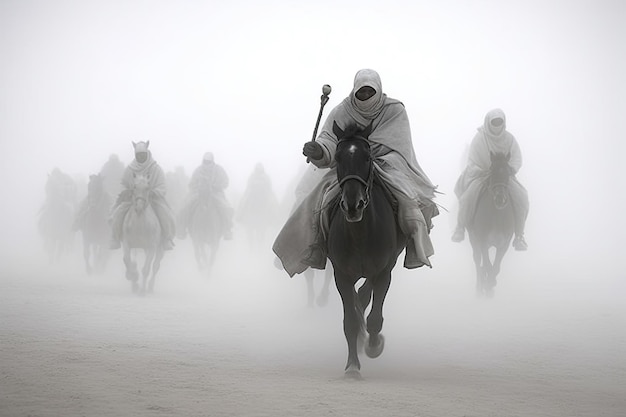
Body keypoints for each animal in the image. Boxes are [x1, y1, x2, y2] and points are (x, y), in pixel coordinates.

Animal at [324, 121, 408, 376]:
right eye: (338, 157)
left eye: (368, 157)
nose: (353, 204)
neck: (360, 235)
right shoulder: (341, 274)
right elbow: (350, 321)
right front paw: (352, 365)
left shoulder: (384, 272)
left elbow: (375, 318)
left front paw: (373, 345)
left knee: (365, 293)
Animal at [466, 152, 516, 296]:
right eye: (491, 171)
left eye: (509, 172)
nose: (500, 199)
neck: (497, 218)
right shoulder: (482, 241)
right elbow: (488, 265)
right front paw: (487, 285)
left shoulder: (504, 244)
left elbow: (496, 267)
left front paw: (490, 286)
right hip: (474, 240)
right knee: (478, 260)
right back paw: (479, 288)